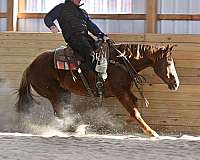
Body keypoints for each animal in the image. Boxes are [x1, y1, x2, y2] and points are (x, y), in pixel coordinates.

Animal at [15, 42, 180, 138]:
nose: (176, 83)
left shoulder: (126, 91)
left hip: (63, 92)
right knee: (61, 112)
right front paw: (151, 132)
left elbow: (135, 106)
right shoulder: (120, 92)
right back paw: (77, 128)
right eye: (168, 62)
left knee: (63, 112)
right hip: (54, 93)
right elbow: (135, 112)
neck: (120, 63)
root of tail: (30, 67)